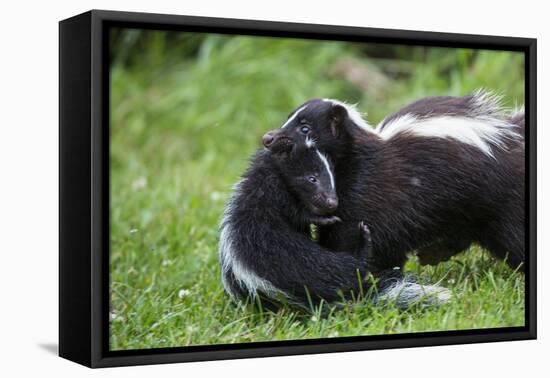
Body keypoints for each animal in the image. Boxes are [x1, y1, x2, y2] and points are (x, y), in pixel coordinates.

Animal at [218, 143, 450, 308]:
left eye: (332, 176)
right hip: (293, 262)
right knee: (341, 268)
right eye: (311, 178)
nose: (332, 202)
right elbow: (296, 212)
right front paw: (325, 218)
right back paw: (364, 244)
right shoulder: (271, 192)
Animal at [266, 91, 528, 268]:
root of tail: (512, 136)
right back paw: (432, 254)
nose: (268, 137)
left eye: (305, 128)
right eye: (288, 119)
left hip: (499, 198)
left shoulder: (375, 194)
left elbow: (362, 235)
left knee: (513, 237)